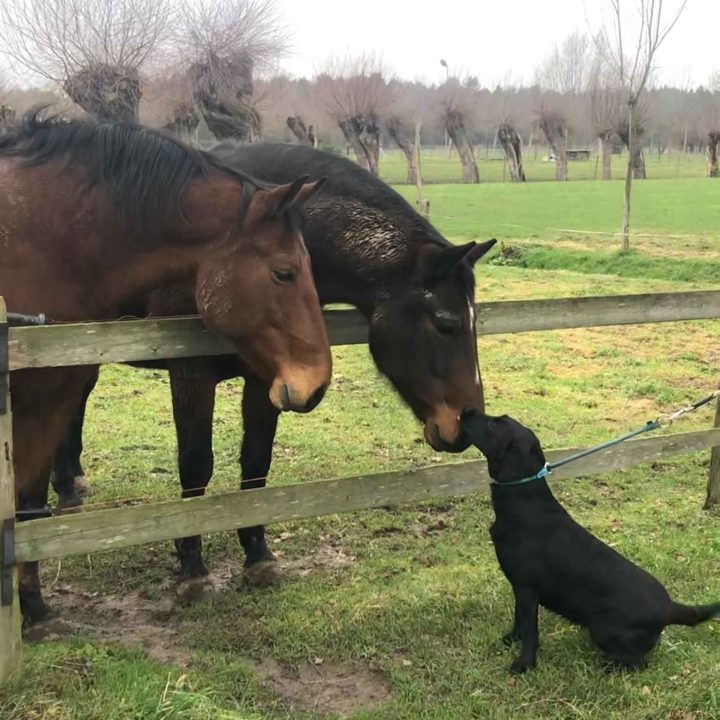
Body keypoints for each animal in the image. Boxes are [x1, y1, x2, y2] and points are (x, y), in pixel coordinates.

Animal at [0, 114, 332, 622]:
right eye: (284, 272)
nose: (316, 383)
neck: (38, 245)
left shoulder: (48, 398)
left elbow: (28, 505)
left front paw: (35, 610)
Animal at [52, 142, 496, 585]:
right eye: (447, 325)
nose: (465, 424)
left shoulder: (272, 381)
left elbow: (256, 463)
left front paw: (257, 555)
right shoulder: (191, 373)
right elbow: (196, 464)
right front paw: (192, 566)